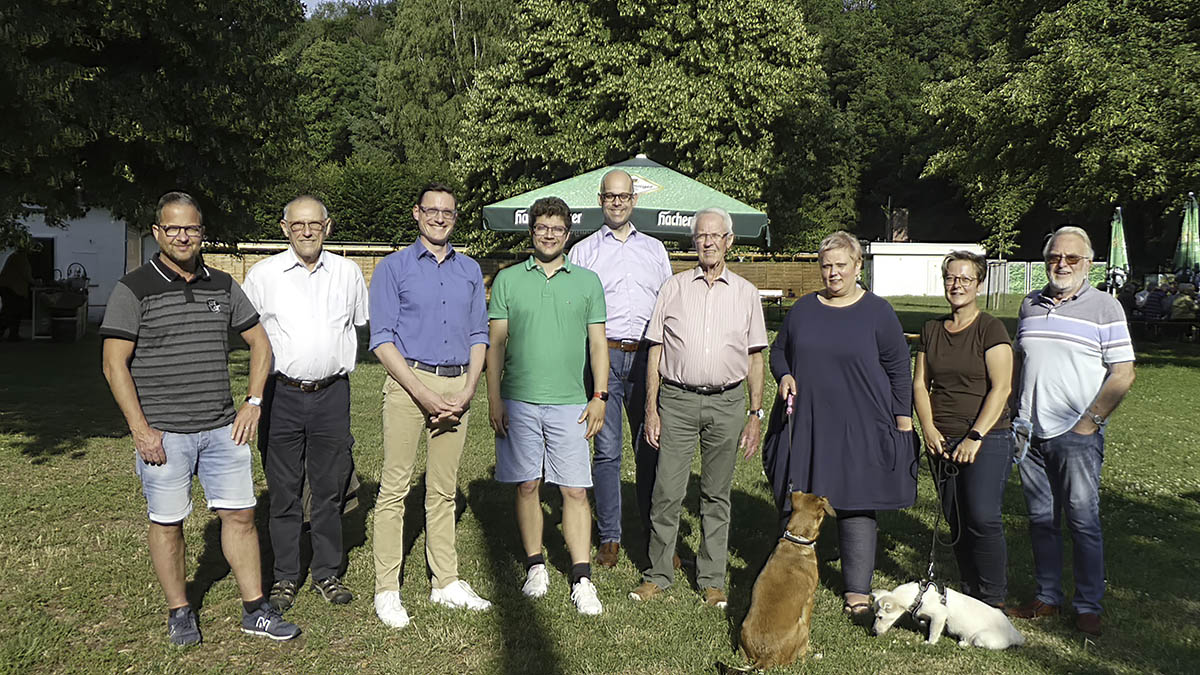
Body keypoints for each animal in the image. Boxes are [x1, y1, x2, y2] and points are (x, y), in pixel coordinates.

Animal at [868, 578, 1027, 648]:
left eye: (880, 617)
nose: (873, 632)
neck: (920, 596)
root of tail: (1016, 635)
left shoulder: (939, 615)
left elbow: (933, 632)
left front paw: (929, 643)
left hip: (982, 637)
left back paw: (963, 643)